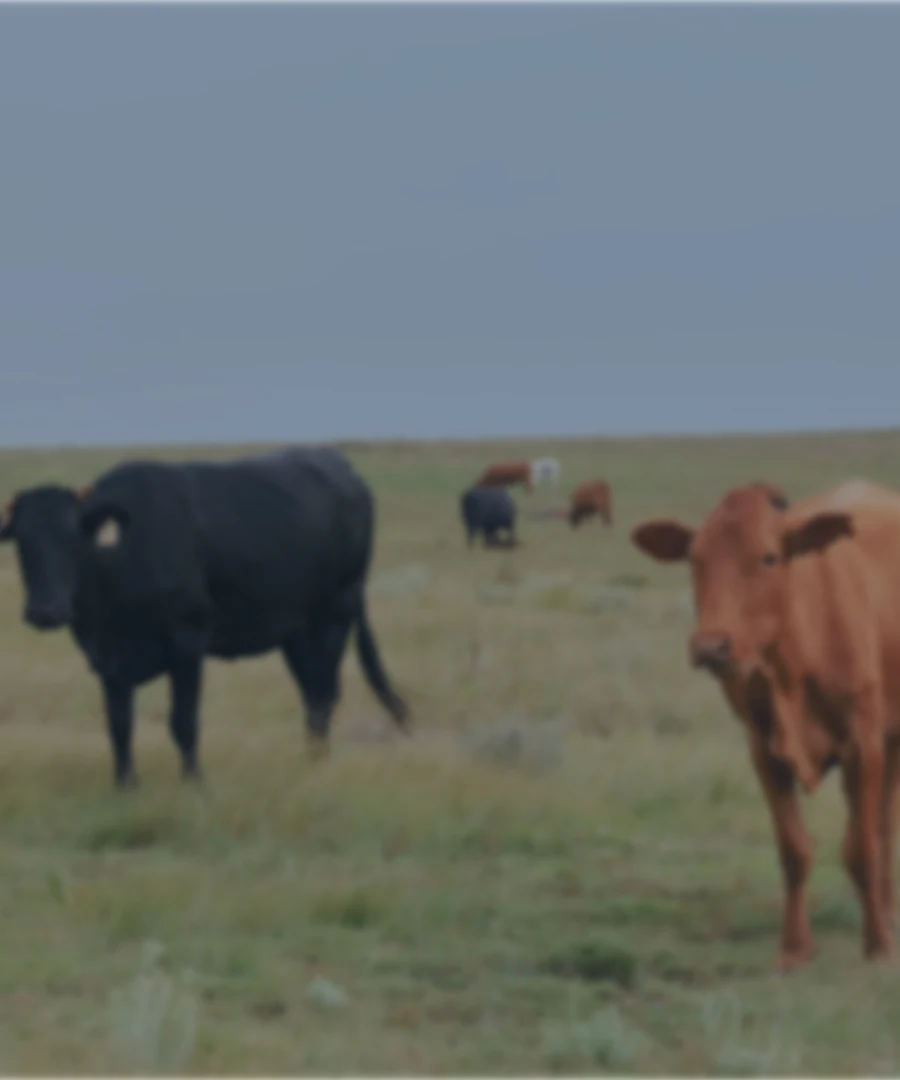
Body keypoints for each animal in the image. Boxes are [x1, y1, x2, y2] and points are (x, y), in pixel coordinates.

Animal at [0, 446, 409, 789]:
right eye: (21, 540)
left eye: (73, 535)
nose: (45, 610)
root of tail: (341, 466)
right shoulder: (107, 659)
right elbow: (119, 725)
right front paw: (125, 786)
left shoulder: (188, 640)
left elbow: (183, 720)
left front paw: (194, 782)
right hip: (295, 631)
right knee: (311, 692)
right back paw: (310, 759)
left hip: (335, 613)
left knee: (324, 694)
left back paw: (317, 763)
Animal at [630, 478, 900, 968]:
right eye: (694, 558)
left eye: (769, 557)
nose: (711, 646)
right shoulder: (763, 750)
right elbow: (794, 850)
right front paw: (794, 948)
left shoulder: (862, 744)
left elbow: (861, 847)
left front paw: (877, 945)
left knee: (884, 826)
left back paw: (886, 917)